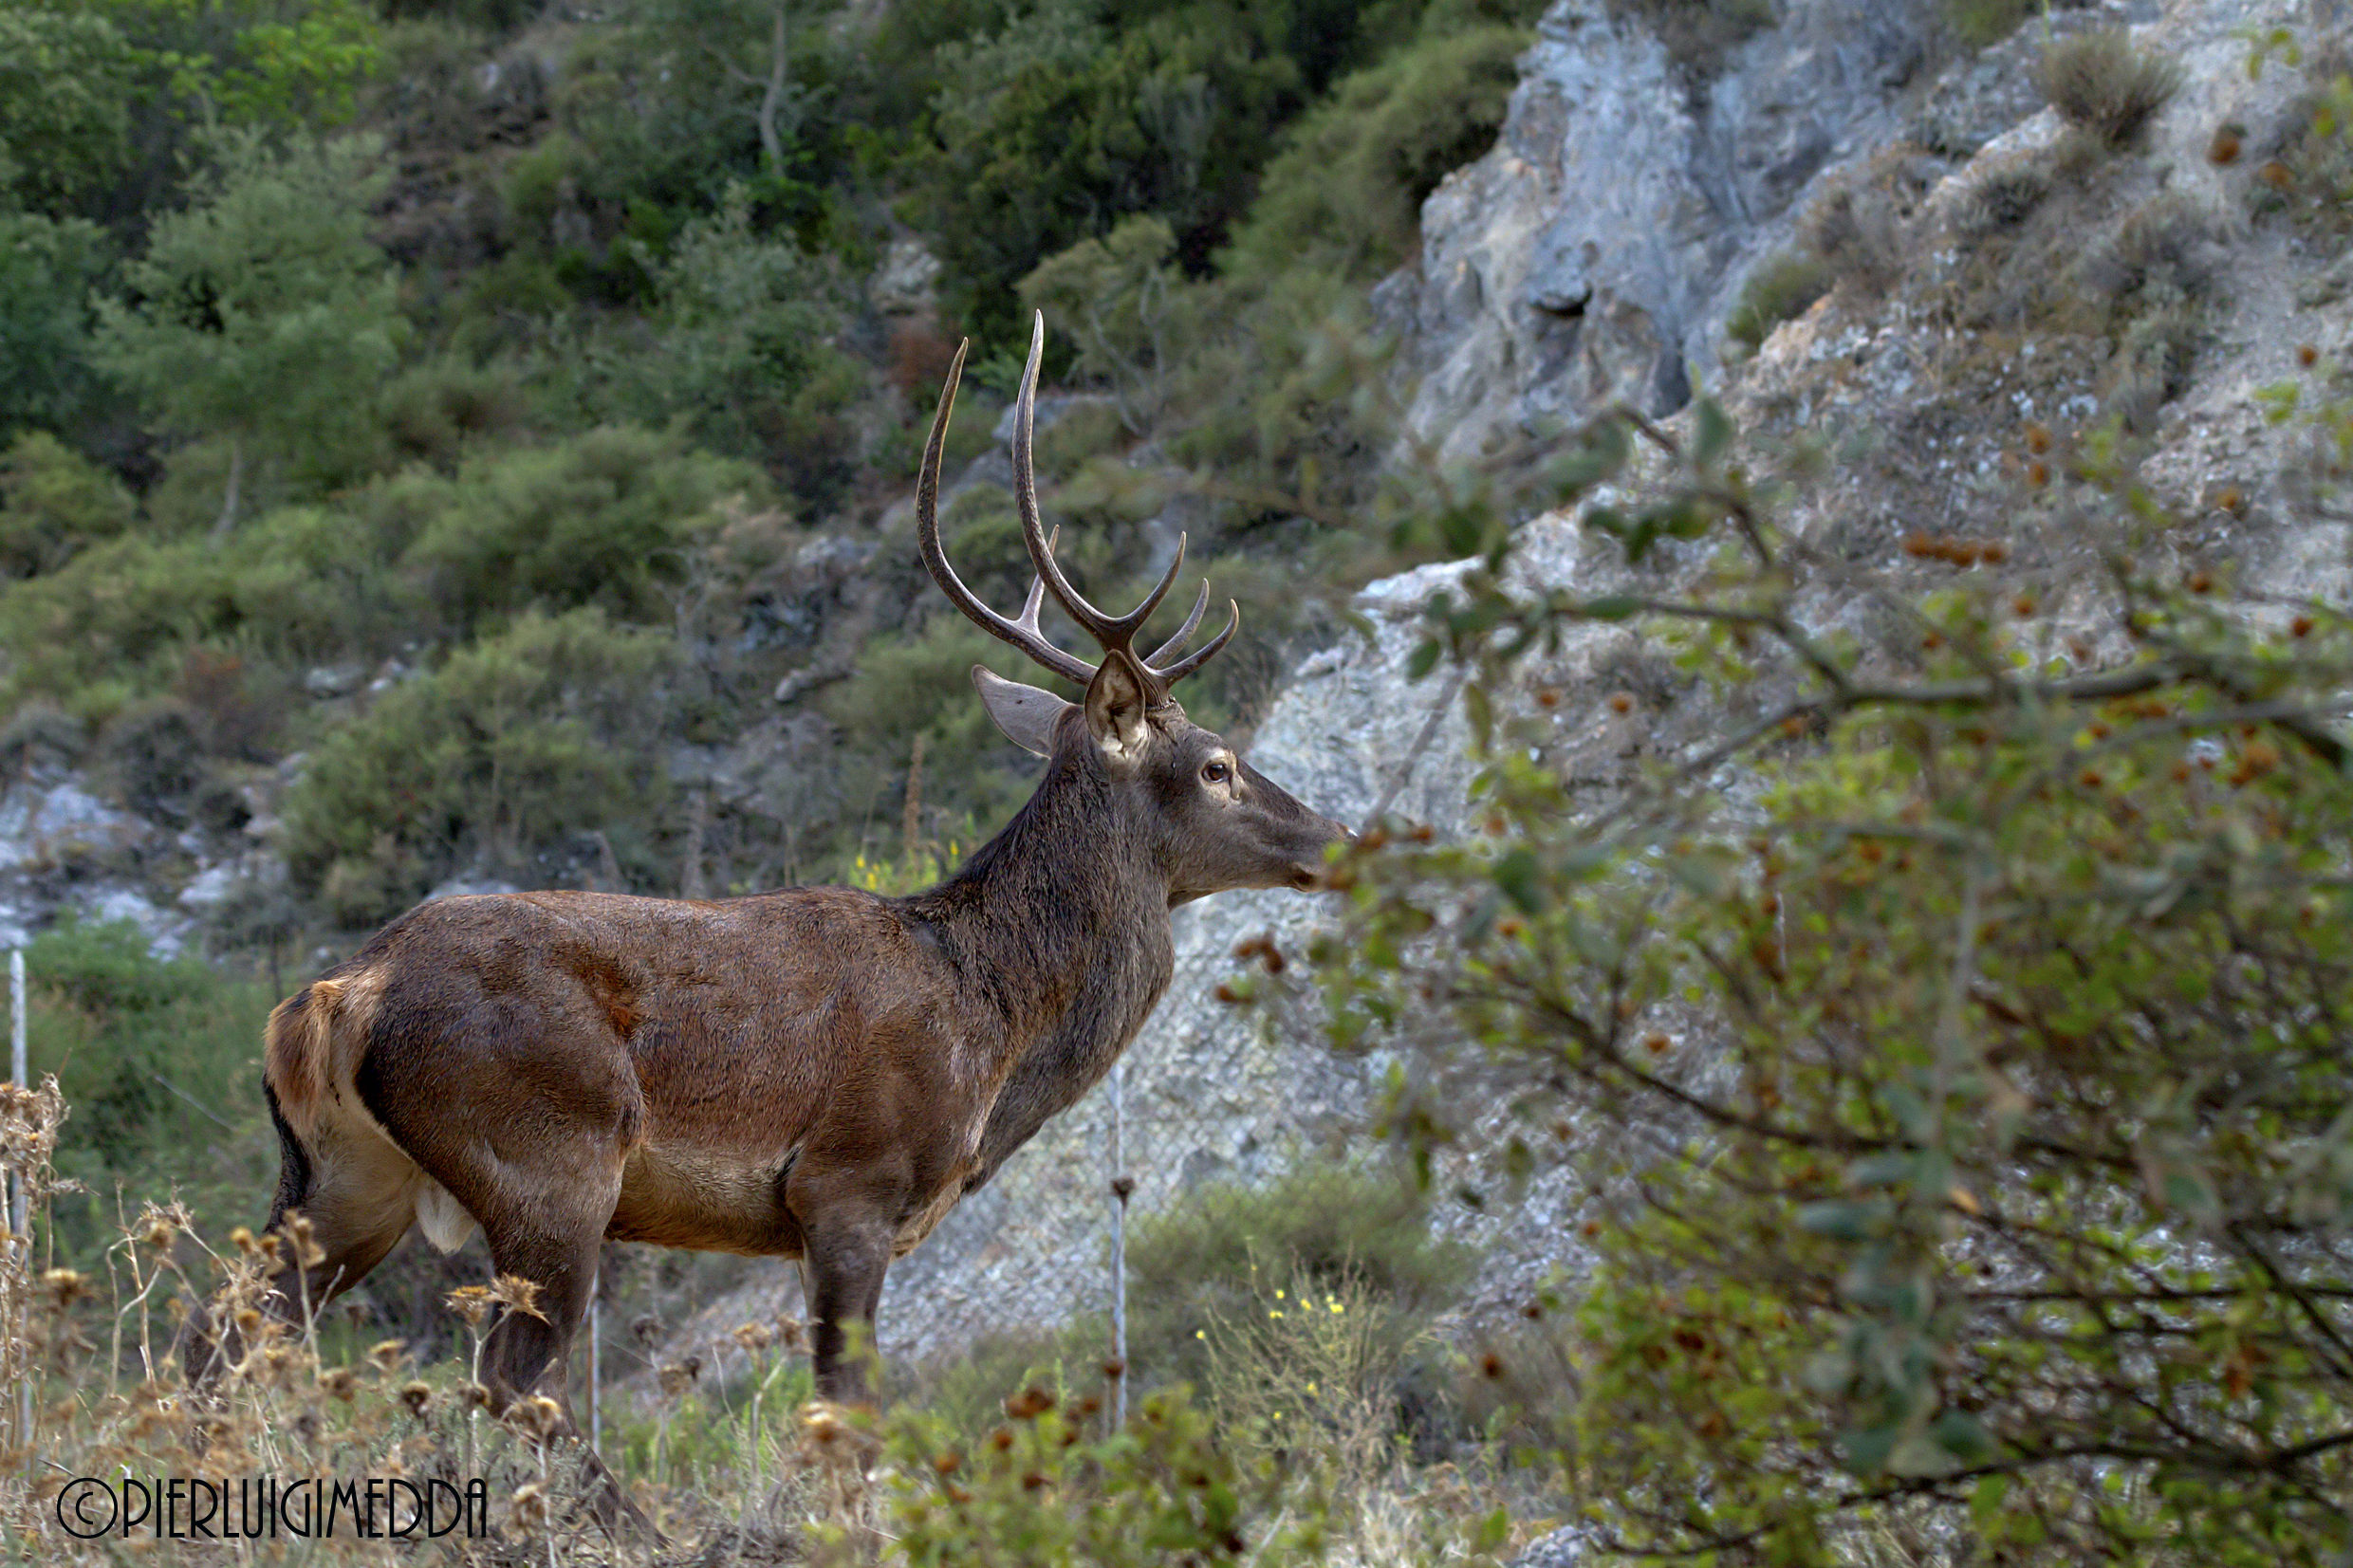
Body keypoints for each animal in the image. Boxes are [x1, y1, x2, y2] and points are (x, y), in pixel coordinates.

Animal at [189, 312, 1348, 1518]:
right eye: (1216, 763)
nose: (1329, 838)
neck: (989, 1024)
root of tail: (333, 997)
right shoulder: (846, 1184)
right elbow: (849, 1418)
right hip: (548, 1160)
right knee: (506, 1378)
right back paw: (633, 1522)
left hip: (340, 1178)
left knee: (223, 1333)